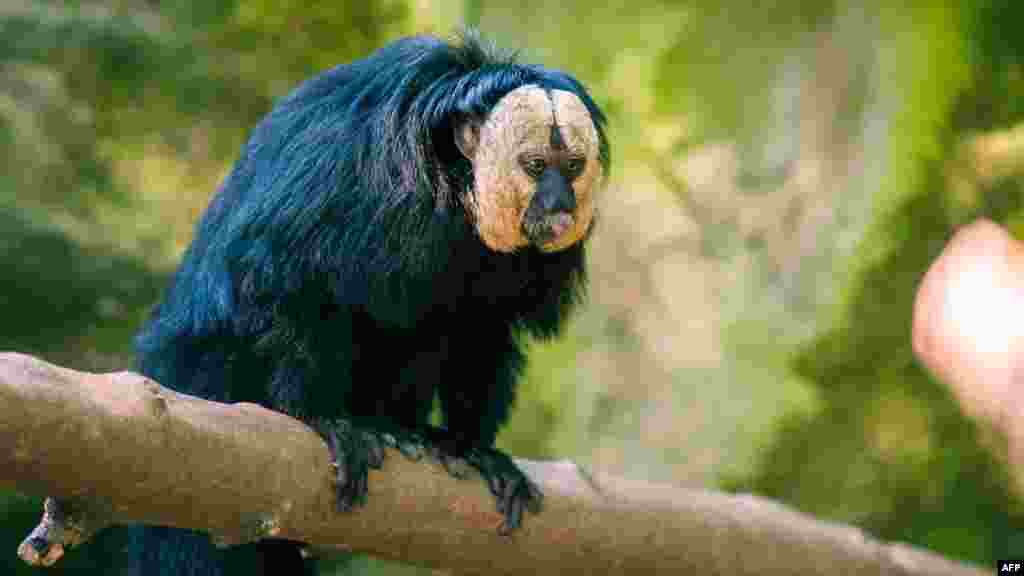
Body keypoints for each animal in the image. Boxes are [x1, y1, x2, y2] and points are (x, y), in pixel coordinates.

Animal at [119, 29, 606, 569]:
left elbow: (480, 330)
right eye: (536, 166)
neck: (452, 184)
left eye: (573, 167)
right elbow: (280, 277)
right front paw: (322, 417)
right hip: (197, 371)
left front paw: (471, 447)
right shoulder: (351, 178)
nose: (560, 202)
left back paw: (406, 429)